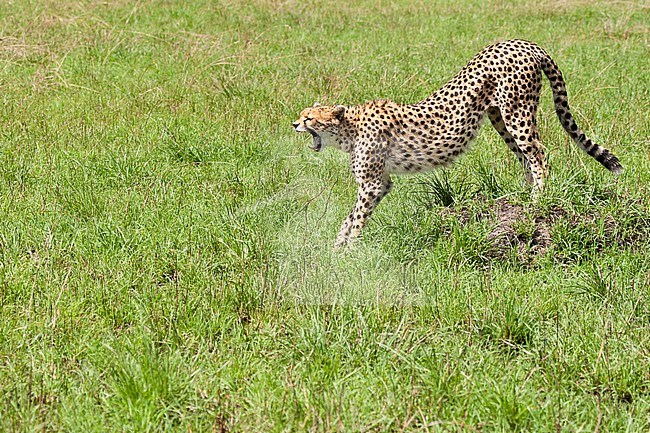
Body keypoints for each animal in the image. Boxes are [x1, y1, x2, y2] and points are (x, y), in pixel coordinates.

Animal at [292, 41, 620, 250]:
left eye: (309, 118)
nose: (294, 124)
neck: (350, 127)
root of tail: (524, 42)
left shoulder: (371, 183)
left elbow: (358, 217)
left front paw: (348, 249)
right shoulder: (381, 182)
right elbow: (350, 216)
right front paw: (337, 245)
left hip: (517, 112)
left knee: (538, 155)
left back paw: (537, 200)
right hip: (499, 118)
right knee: (525, 157)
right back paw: (521, 200)